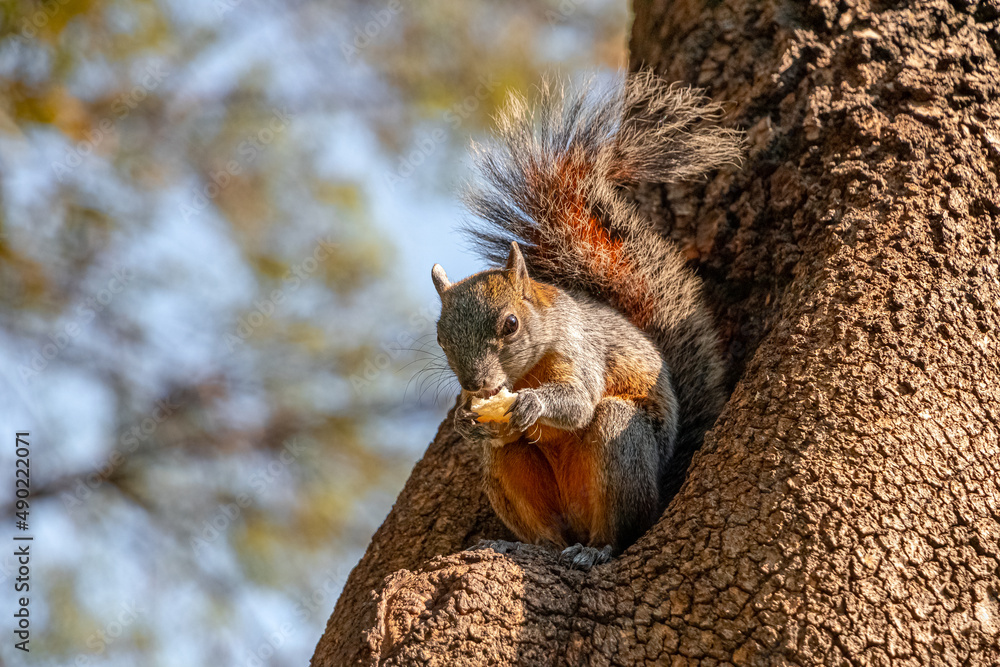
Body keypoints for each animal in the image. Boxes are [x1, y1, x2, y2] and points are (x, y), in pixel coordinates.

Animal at [430, 74, 744, 576]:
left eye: (511, 324)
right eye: (440, 338)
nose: (476, 383)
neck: (526, 370)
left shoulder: (580, 350)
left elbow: (578, 402)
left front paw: (533, 403)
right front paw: (464, 418)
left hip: (624, 449)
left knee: (616, 523)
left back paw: (596, 549)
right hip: (510, 472)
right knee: (528, 498)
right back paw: (522, 546)